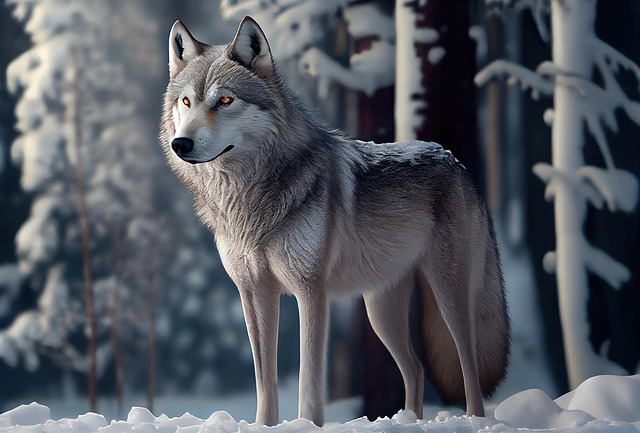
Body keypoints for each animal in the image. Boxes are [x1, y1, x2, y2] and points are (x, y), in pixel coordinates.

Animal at [160, 16, 510, 426]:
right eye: (186, 101)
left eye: (225, 100)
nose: (181, 144)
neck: (248, 199)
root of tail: (457, 162)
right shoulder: (254, 293)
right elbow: (265, 381)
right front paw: (265, 426)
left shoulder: (311, 292)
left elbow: (310, 380)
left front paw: (308, 425)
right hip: (380, 313)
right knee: (417, 369)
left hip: (449, 298)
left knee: (469, 369)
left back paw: (475, 421)